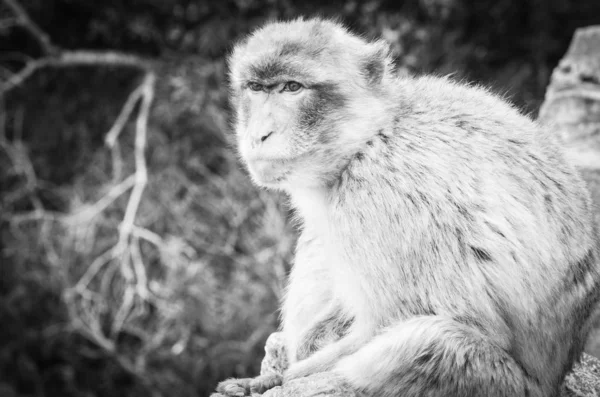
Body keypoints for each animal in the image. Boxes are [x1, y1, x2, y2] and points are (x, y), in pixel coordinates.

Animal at [213, 17, 600, 396]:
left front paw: (273, 379)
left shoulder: (383, 197)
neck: (370, 137)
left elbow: (410, 319)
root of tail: (555, 379)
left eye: (292, 88)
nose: (259, 135)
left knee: (424, 344)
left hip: (504, 384)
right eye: (256, 88)